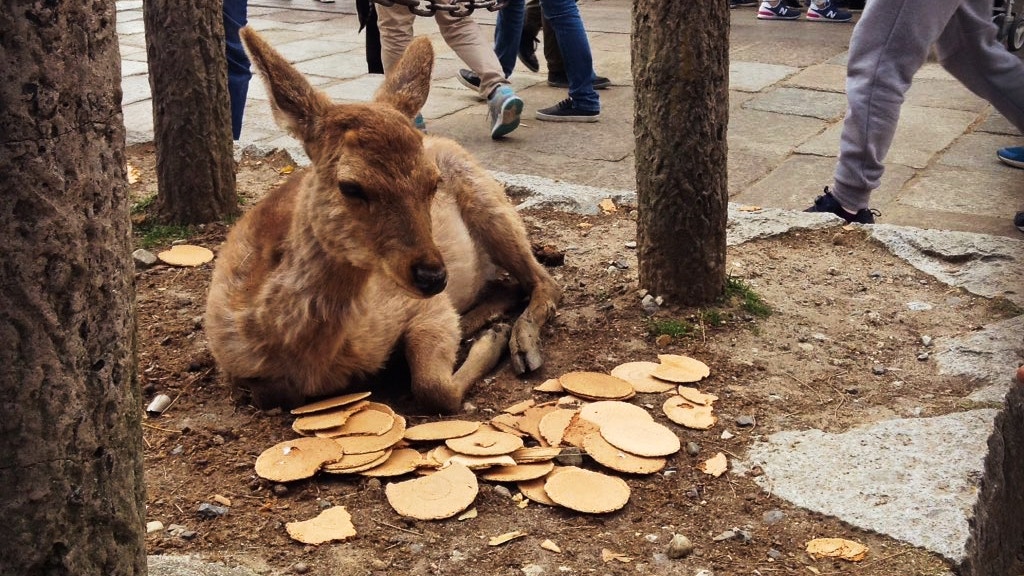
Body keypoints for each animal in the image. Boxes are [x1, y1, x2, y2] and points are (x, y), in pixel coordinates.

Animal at [200, 28, 561, 412]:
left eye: (433, 182)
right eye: (350, 186)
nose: (433, 276)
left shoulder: (421, 306)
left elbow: (434, 387)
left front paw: (490, 340)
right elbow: (268, 394)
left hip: (488, 199)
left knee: (543, 281)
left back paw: (518, 342)